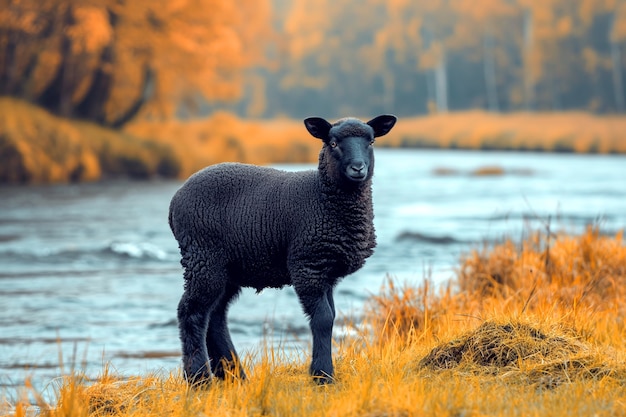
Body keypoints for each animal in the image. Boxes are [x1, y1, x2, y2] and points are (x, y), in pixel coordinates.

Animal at [169, 114, 394, 384]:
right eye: (333, 143)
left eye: (371, 141)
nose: (358, 168)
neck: (322, 197)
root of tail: (175, 199)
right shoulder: (307, 266)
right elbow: (323, 319)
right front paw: (322, 375)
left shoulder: (326, 271)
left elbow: (331, 316)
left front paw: (322, 373)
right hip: (203, 257)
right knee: (191, 312)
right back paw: (199, 379)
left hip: (226, 267)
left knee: (215, 317)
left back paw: (234, 376)